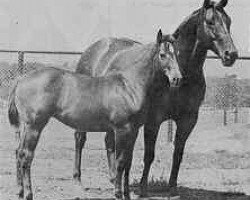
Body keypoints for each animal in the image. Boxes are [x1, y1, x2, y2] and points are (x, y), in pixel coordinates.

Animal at [73, 0, 238, 197]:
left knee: (109, 142)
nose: (231, 54)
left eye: (229, 22)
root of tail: (93, 50)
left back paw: (113, 178)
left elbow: (178, 154)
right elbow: (149, 155)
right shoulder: (154, 120)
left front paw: (172, 188)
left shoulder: (188, 120)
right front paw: (143, 188)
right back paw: (78, 180)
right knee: (80, 138)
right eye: (210, 21)